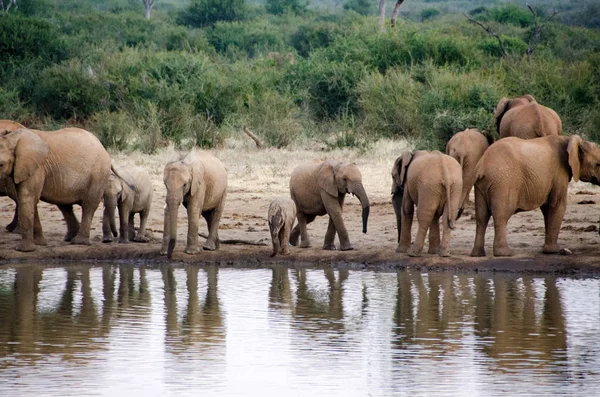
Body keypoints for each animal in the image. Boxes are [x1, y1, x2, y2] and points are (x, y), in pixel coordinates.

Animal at [472, 134, 600, 256]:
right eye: (598, 164)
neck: (569, 140)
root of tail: (482, 165)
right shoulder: (559, 173)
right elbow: (557, 205)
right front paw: (553, 251)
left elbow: (547, 208)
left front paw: (547, 249)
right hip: (502, 182)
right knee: (501, 215)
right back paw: (505, 253)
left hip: (482, 184)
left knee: (481, 217)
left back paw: (477, 254)